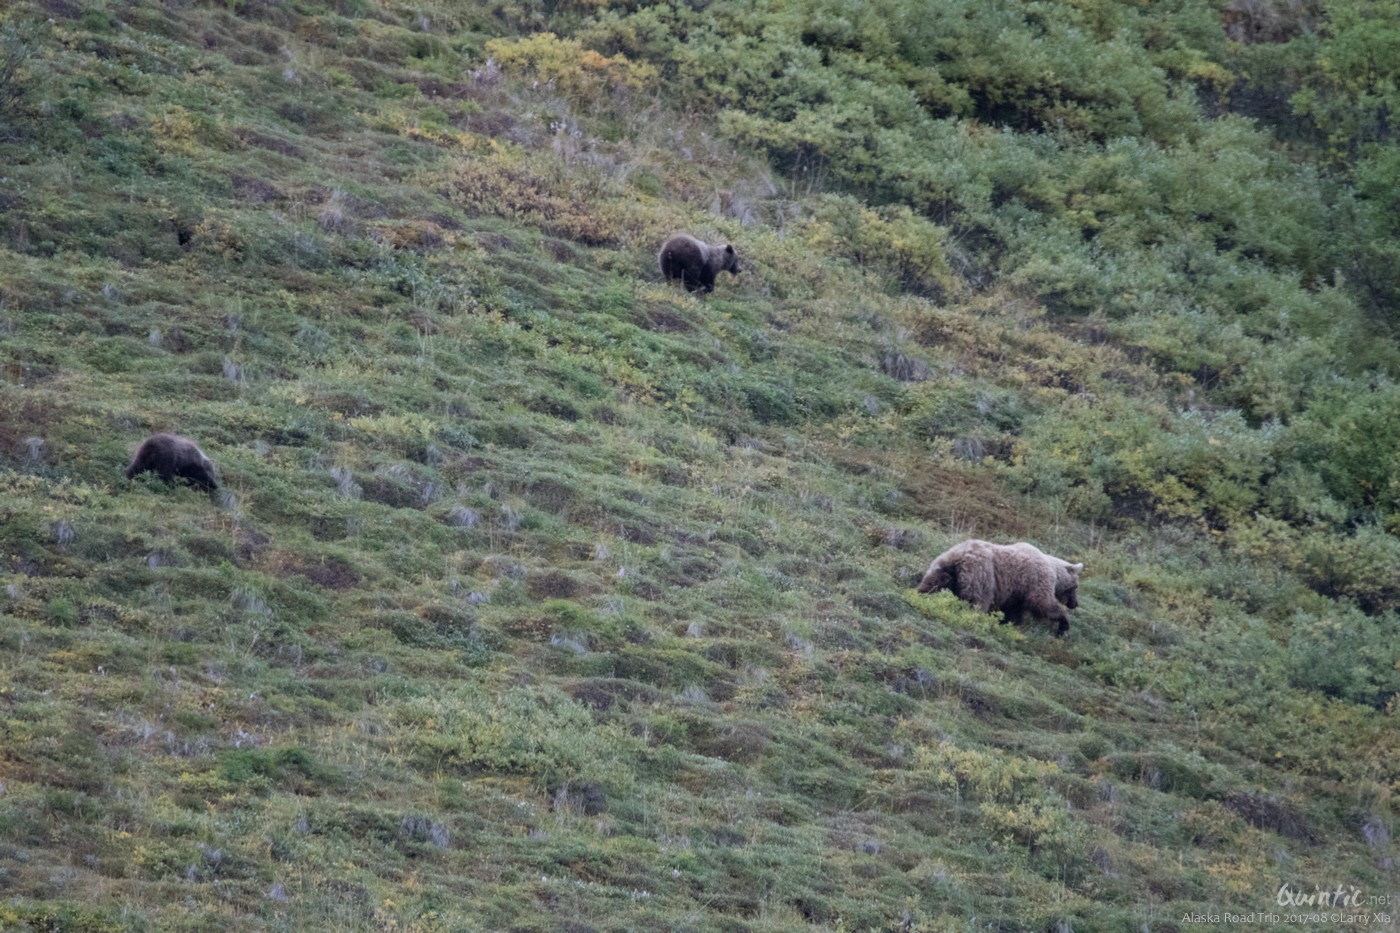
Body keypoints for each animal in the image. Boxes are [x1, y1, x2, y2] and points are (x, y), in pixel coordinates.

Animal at [918, 537, 1080, 633]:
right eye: (1075, 587)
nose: (1074, 603)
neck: (1054, 570)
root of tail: (960, 557)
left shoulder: (1017, 591)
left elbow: (1014, 610)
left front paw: (1011, 624)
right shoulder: (1036, 580)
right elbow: (1043, 603)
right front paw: (1064, 624)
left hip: (942, 569)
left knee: (932, 584)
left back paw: (920, 594)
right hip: (982, 576)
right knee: (978, 601)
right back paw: (976, 618)